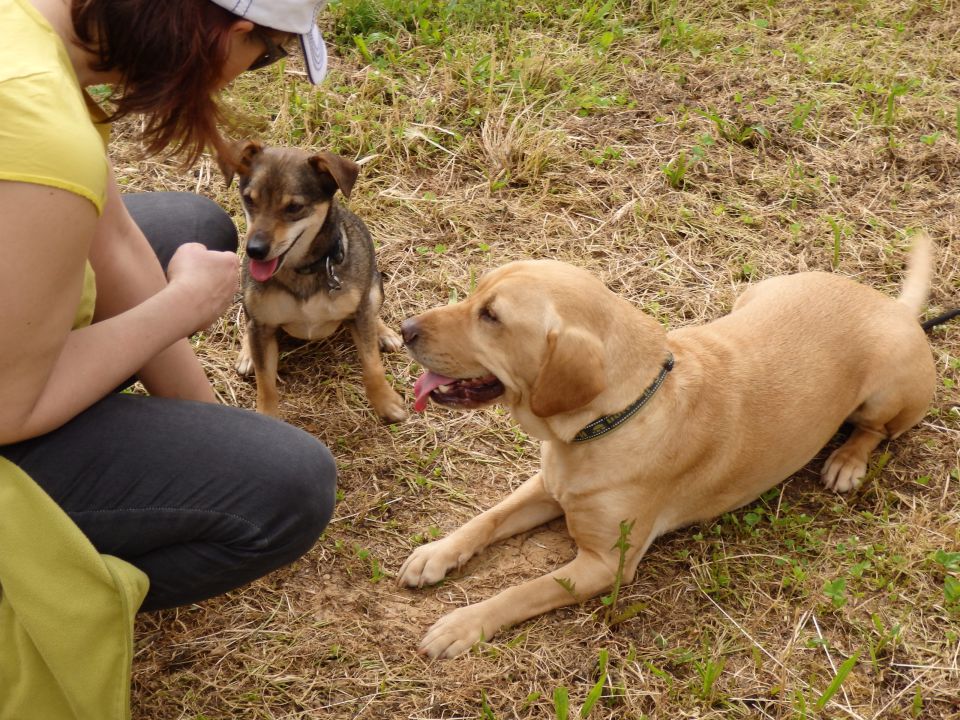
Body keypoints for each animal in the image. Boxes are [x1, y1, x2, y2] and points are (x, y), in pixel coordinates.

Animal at [223, 141, 406, 422]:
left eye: (294, 207)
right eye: (249, 199)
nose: (254, 250)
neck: (303, 269)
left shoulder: (359, 311)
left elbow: (372, 364)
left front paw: (387, 403)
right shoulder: (262, 324)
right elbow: (266, 383)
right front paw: (267, 416)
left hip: (375, 287)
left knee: (372, 311)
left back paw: (384, 333)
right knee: (248, 323)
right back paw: (247, 354)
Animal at [398, 238, 936, 660]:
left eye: (491, 317)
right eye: (476, 293)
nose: (404, 329)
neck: (611, 419)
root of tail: (897, 308)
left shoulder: (603, 565)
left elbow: (522, 591)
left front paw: (462, 624)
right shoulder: (548, 487)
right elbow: (486, 519)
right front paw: (436, 554)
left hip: (888, 392)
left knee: (877, 431)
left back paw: (847, 461)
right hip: (755, 294)